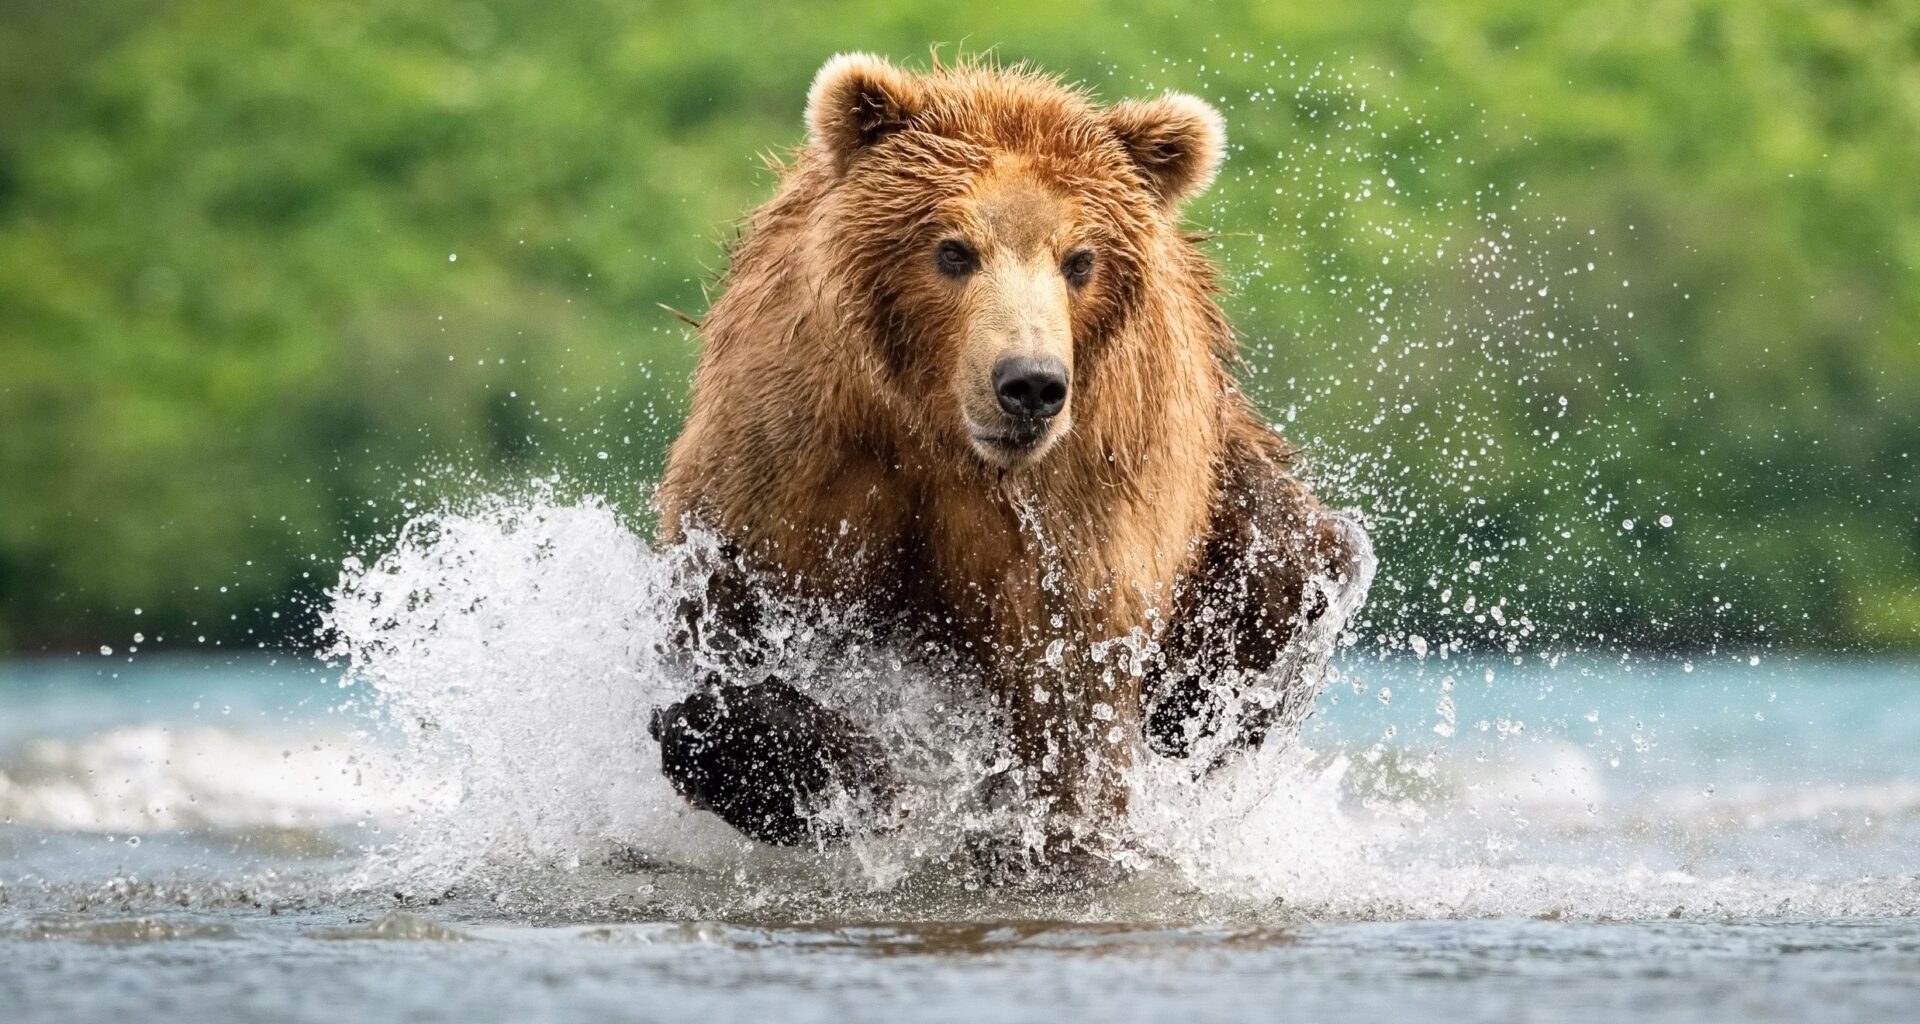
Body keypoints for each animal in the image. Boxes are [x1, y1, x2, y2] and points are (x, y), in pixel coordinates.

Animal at [649, 53, 1371, 873]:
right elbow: (723, 626)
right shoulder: (798, 448)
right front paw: (851, 776)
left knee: (1295, 570)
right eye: (952, 249)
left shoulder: (1080, 504)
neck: (938, 428)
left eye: (1080, 259)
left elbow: (1068, 709)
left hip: (1226, 500)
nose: (1029, 383)